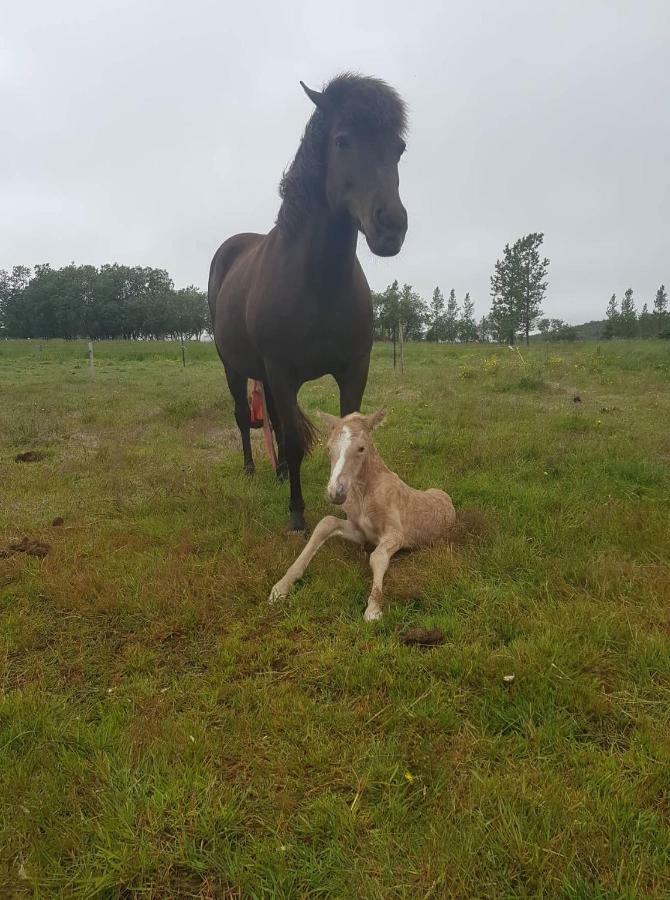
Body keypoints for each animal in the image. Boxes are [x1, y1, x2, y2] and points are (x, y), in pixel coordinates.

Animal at [210, 75, 410, 536]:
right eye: (342, 140)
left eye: (399, 148)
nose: (391, 226)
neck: (317, 283)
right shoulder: (283, 373)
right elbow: (294, 440)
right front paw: (297, 514)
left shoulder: (353, 369)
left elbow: (348, 435)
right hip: (235, 368)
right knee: (244, 416)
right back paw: (252, 470)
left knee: (272, 421)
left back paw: (280, 472)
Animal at [270, 412, 460, 624]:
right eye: (328, 448)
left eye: (361, 448)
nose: (335, 493)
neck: (364, 493)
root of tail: (447, 497)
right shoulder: (360, 532)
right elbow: (326, 523)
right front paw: (280, 588)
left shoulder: (396, 534)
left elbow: (377, 556)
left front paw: (374, 610)